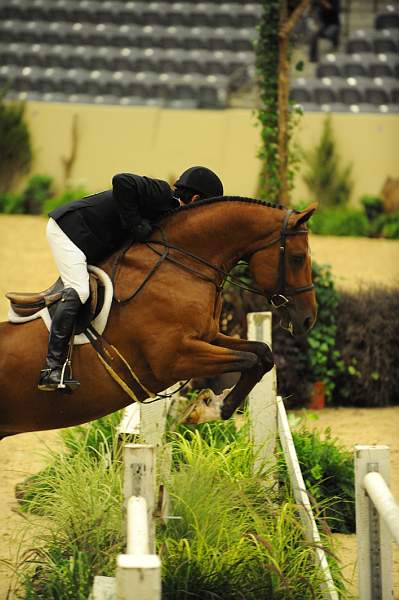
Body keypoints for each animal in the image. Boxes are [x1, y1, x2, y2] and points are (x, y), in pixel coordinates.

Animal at [0, 197, 318, 436]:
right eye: (297, 258)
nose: (308, 319)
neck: (182, 263)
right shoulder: (174, 358)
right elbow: (250, 359)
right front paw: (210, 409)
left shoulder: (206, 337)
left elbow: (262, 354)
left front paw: (212, 405)